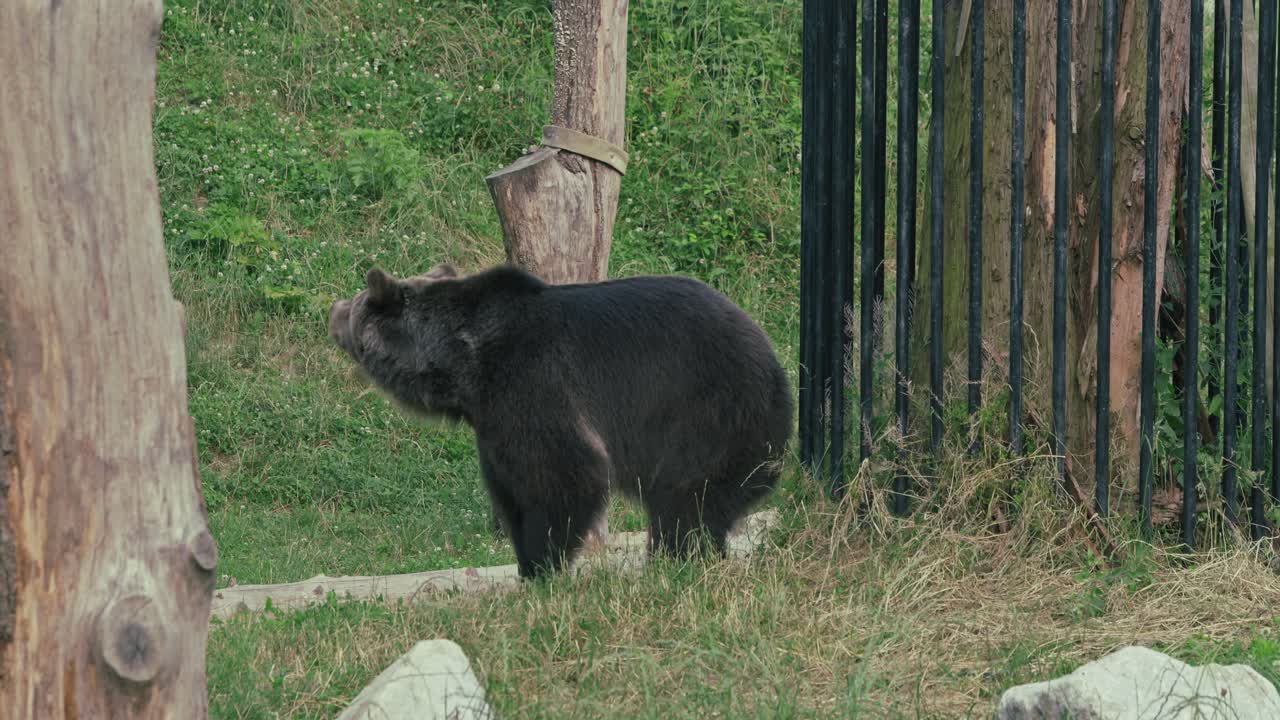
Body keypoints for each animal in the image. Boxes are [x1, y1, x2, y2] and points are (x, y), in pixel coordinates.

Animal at [328, 262, 793, 579]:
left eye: (358, 303)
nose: (333, 309)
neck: (464, 365)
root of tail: (777, 363)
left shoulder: (532, 381)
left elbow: (562, 472)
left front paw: (542, 566)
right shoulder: (491, 419)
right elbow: (509, 485)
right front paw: (524, 561)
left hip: (711, 414)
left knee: (685, 502)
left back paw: (675, 561)